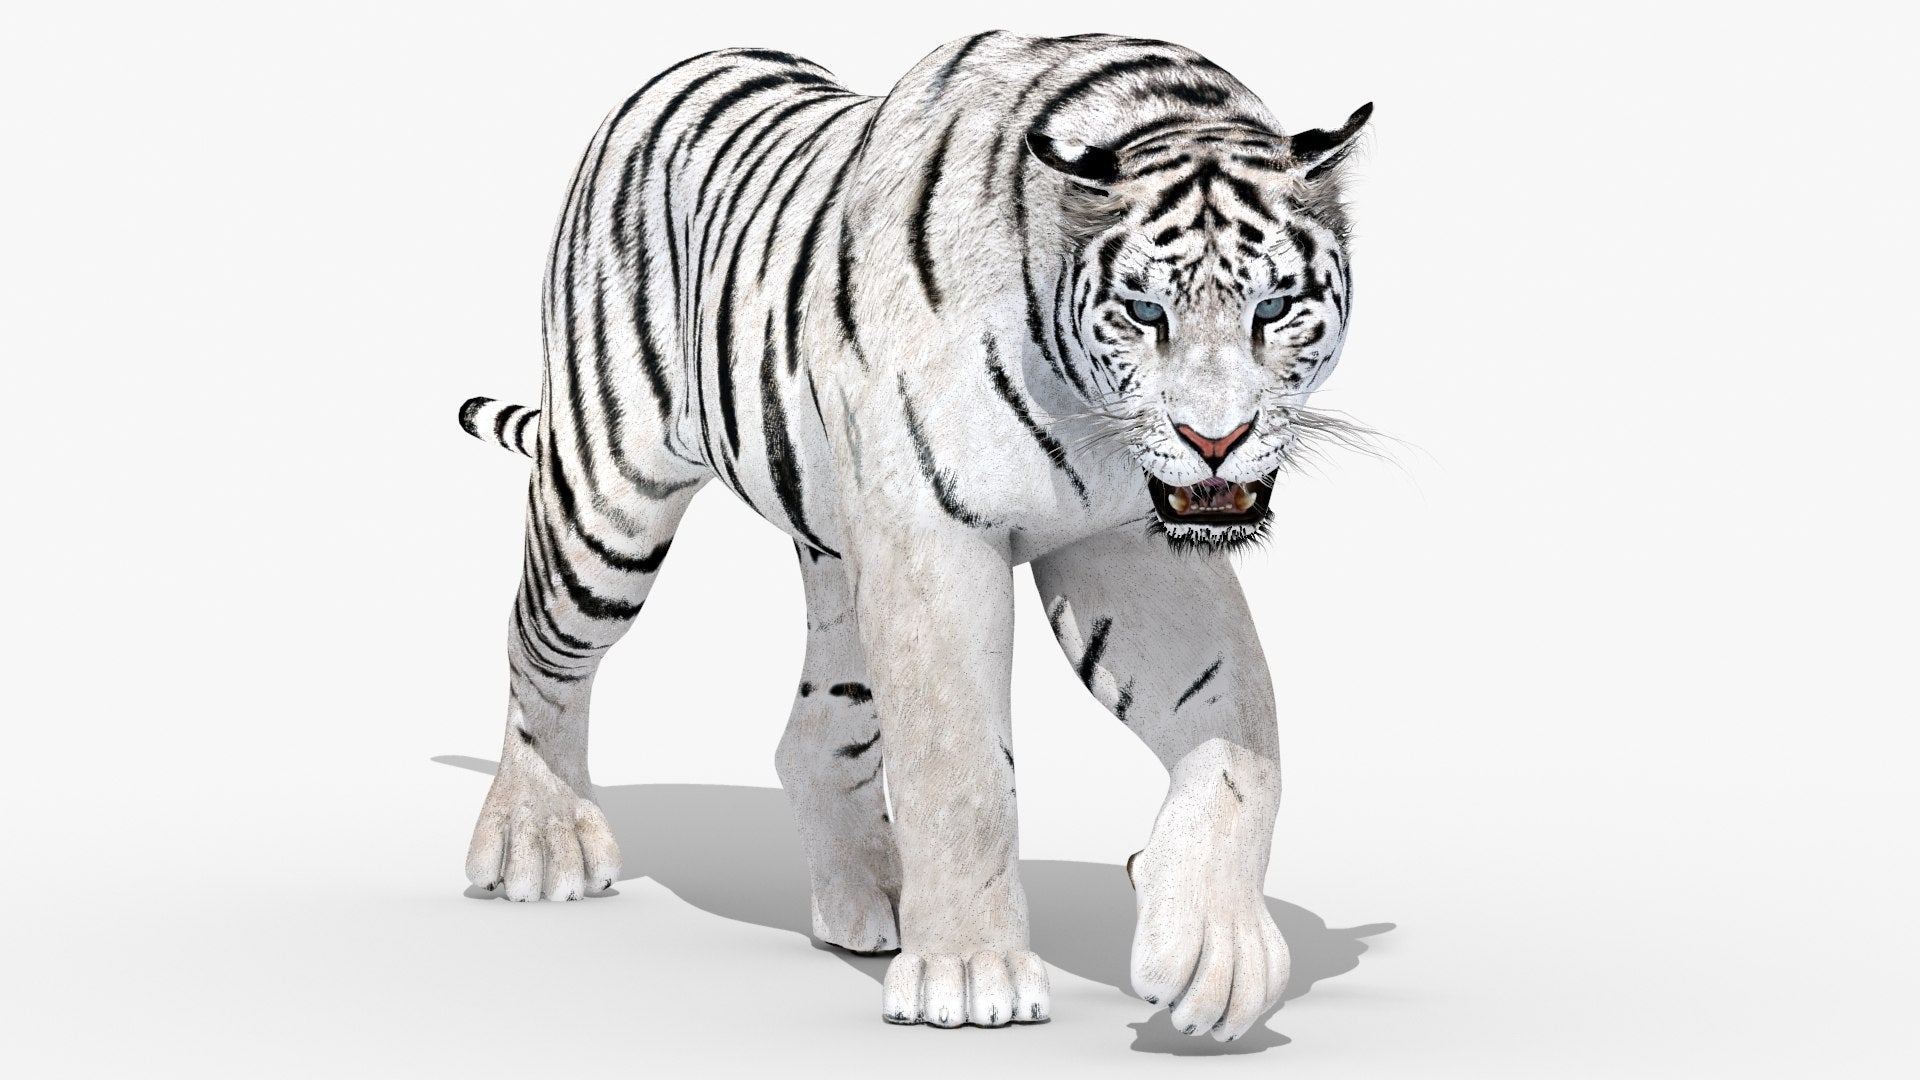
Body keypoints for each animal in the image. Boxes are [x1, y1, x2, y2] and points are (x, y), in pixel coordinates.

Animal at [454, 31, 1371, 1039]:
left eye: (1273, 308)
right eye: (1144, 312)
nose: (1216, 439)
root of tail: (685, 66)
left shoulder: (1124, 543)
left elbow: (1242, 732)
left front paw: (1213, 949)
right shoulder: (936, 537)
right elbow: (957, 763)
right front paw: (970, 973)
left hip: (841, 549)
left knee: (814, 734)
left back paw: (875, 900)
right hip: (607, 504)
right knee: (539, 651)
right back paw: (538, 840)